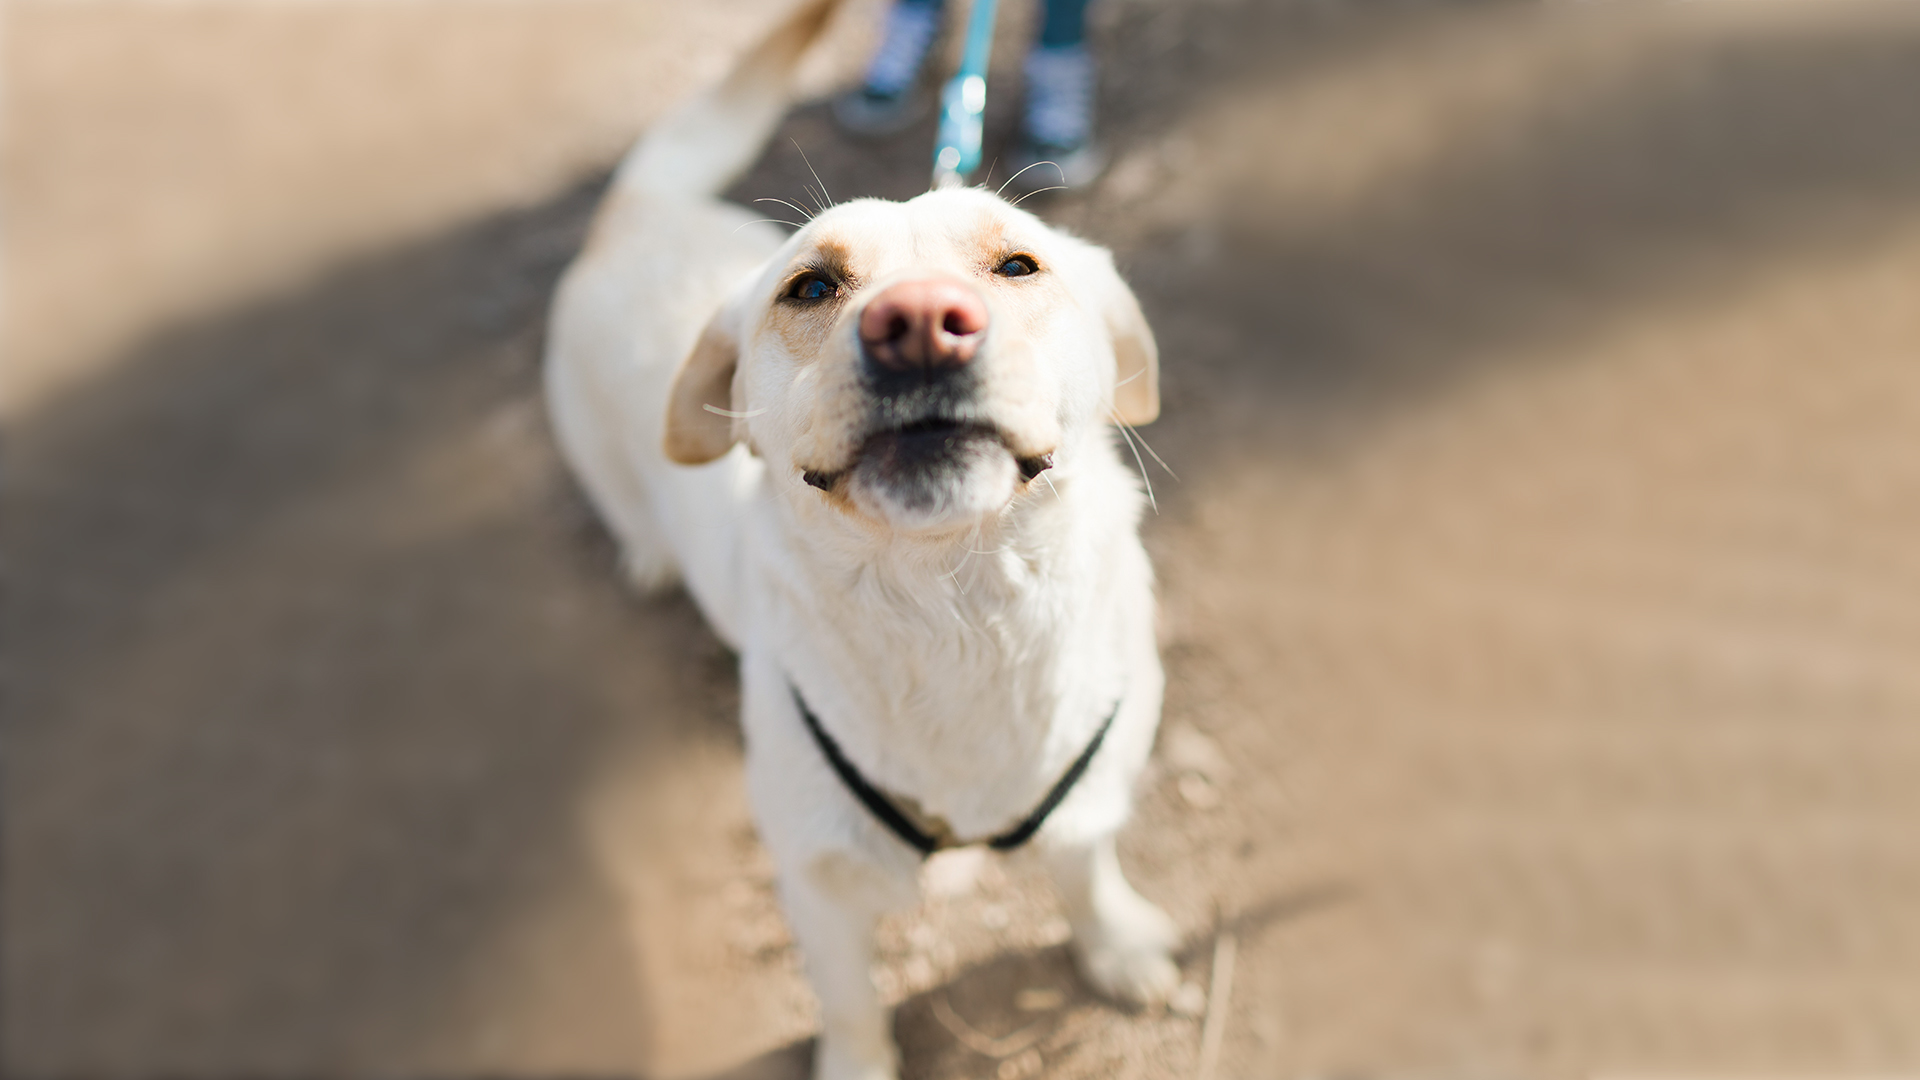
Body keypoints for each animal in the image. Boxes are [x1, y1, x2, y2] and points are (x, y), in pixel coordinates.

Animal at [544, 2, 1177, 1075]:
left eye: (1018, 265)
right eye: (810, 288)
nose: (919, 322)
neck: (956, 610)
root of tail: (639, 204)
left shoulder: (1089, 795)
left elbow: (1086, 875)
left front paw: (1117, 946)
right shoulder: (815, 878)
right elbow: (847, 1003)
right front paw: (857, 1058)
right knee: (629, 504)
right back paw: (650, 553)